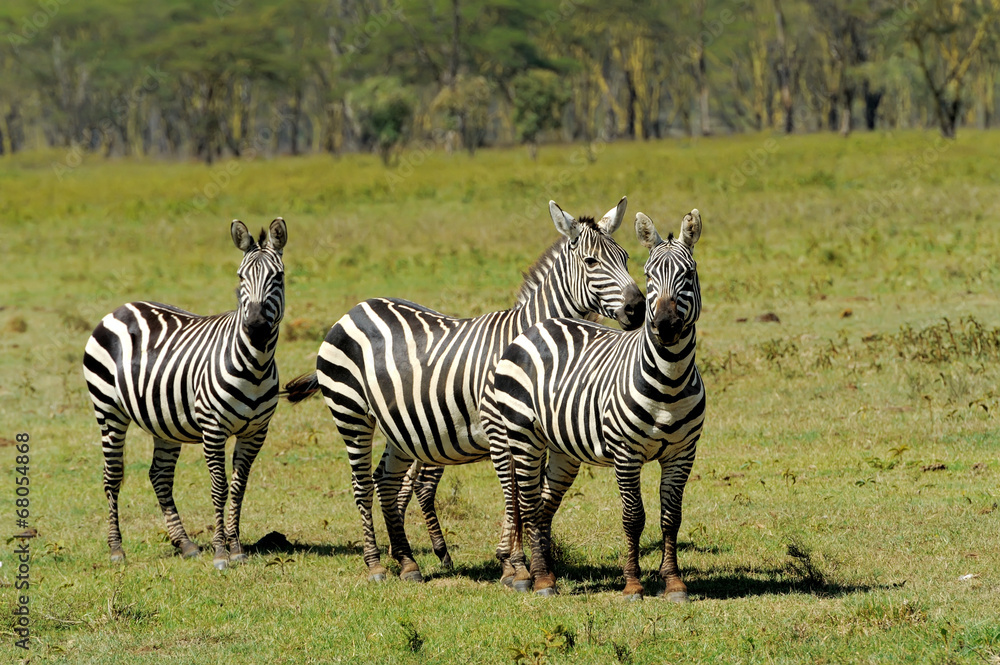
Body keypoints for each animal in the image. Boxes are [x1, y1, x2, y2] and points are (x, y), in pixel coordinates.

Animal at [83, 218, 287, 570]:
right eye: (240, 277)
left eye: (279, 277)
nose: (256, 326)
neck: (256, 366)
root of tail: (122, 307)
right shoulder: (213, 429)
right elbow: (220, 487)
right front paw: (221, 552)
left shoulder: (256, 432)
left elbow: (239, 488)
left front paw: (236, 548)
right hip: (108, 411)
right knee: (112, 476)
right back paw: (116, 549)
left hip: (163, 420)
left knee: (159, 475)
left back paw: (185, 543)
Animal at [282, 198, 645, 582]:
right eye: (591, 262)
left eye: (625, 257)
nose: (638, 309)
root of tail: (356, 308)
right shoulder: (499, 427)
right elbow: (514, 492)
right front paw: (515, 567)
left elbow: (536, 495)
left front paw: (530, 562)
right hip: (349, 412)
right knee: (362, 484)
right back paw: (375, 564)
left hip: (399, 426)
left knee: (387, 481)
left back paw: (407, 562)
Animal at [482, 209, 705, 601]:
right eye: (649, 274)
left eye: (688, 273)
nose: (664, 325)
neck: (670, 381)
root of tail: (539, 324)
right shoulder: (626, 453)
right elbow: (634, 517)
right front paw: (633, 585)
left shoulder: (682, 453)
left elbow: (671, 517)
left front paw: (674, 582)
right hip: (523, 436)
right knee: (527, 503)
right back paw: (539, 579)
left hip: (560, 448)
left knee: (542, 506)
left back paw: (545, 573)